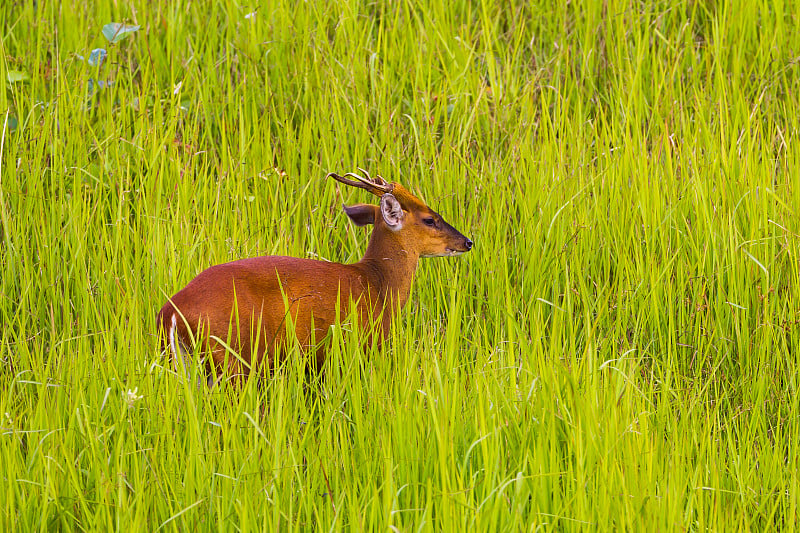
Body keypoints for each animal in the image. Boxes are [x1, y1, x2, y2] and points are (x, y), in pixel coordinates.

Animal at [157, 168, 472, 380]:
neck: (377, 284)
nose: (467, 242)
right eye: (430, 219)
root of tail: (170, 314)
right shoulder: (358, 346)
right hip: (231, 358)